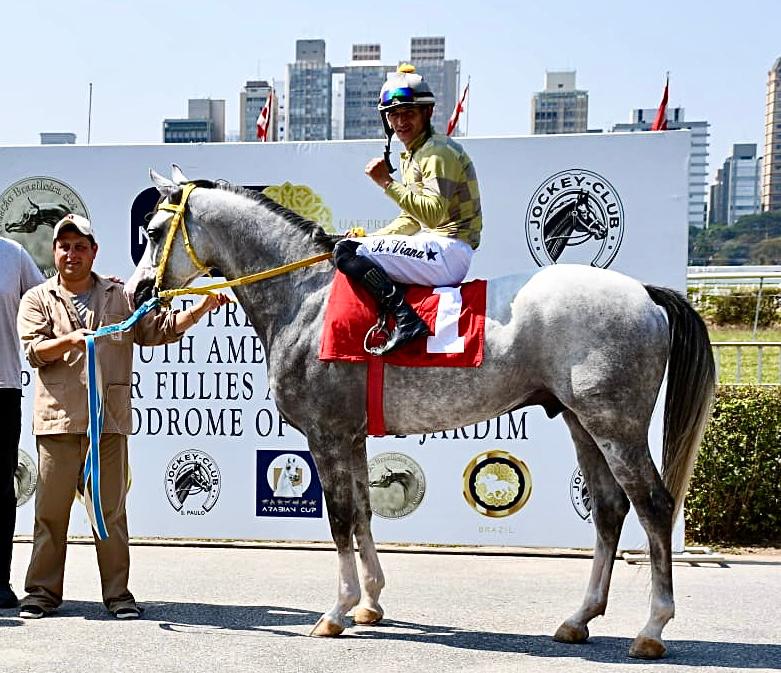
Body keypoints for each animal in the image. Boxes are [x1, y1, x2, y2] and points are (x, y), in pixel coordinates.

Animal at [126, 167, 712, 656]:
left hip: (616, 427)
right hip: (580, 422)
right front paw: (370, 603)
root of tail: (645, 294)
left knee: (654, 506)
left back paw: (652, 629)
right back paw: (579, 619)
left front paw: (336, 612)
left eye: (152, 231)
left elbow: (339, 519)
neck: (305, 300)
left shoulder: (326, 434)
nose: (136, 291)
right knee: (610, 510)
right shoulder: (353, 436)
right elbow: (364, 512)